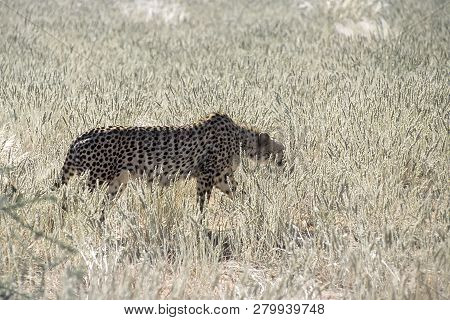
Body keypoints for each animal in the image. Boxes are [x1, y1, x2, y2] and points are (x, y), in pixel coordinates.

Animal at [55, 114, 284, 211]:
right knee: (76, 197)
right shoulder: (206, 175)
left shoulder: (220, 177)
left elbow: (239, 192)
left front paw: (251, 208)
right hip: (96, 179)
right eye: (280, 150)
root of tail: (83, 134)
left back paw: (98, 223)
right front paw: (199, 222)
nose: (284, 161)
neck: (239, 137)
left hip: (117, 182)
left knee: (102, 204)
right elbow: (202, 203)